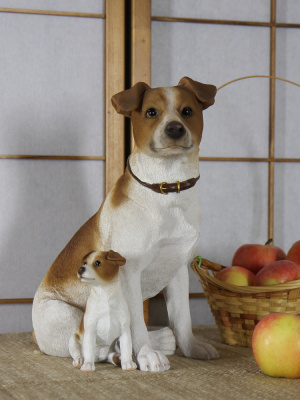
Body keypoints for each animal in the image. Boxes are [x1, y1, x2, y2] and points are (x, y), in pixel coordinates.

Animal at [32, 76, 218, 372]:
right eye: (151, 112)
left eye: (187, 111)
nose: (174, 128)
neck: (167, 190)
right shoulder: (130, 272)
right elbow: (136, 323)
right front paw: (147, 354)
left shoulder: (177, 270)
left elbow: (182, 318)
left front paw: (191, 347)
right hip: (66, 314)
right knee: (92, 348)